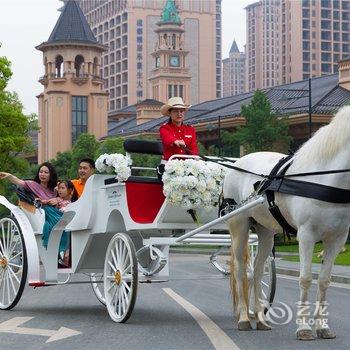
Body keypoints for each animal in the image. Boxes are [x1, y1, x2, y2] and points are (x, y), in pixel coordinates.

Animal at [224, 106, 350, 340]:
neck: (325, 180)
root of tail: (238, 163)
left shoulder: (337, 239)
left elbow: (324, 280)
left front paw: (322, 327)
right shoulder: (307, 235)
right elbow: (306, 278)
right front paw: (304, 328)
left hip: (265, 231)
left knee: (256, 271)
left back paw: (260, 318)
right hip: (239, 226)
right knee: (240, 270)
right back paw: (245, 318)